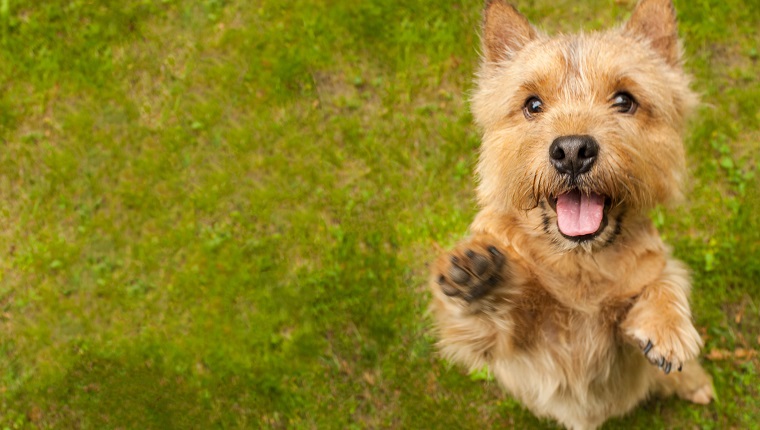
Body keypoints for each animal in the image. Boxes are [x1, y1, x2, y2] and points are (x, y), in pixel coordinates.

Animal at [430, 1, 716, 428]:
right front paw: (477, 276)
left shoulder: (647, 278)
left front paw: (665, 325)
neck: (581, 261)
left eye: (624, 100)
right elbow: (489, 323)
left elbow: (663, 280)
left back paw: (696, 383)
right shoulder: (519, 347)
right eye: (533, 104)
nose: (571, 151)